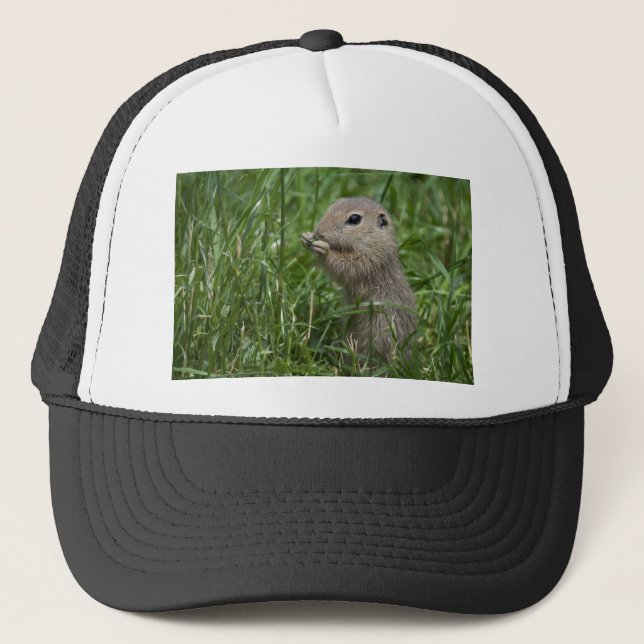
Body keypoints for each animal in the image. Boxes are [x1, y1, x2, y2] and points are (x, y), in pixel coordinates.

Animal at [301, 197, 417, 362]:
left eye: (354, 219)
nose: (319, 232)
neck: (374, 239)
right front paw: (306, 236)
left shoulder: (372, 259)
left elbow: (348, 267)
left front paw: (324, 250)